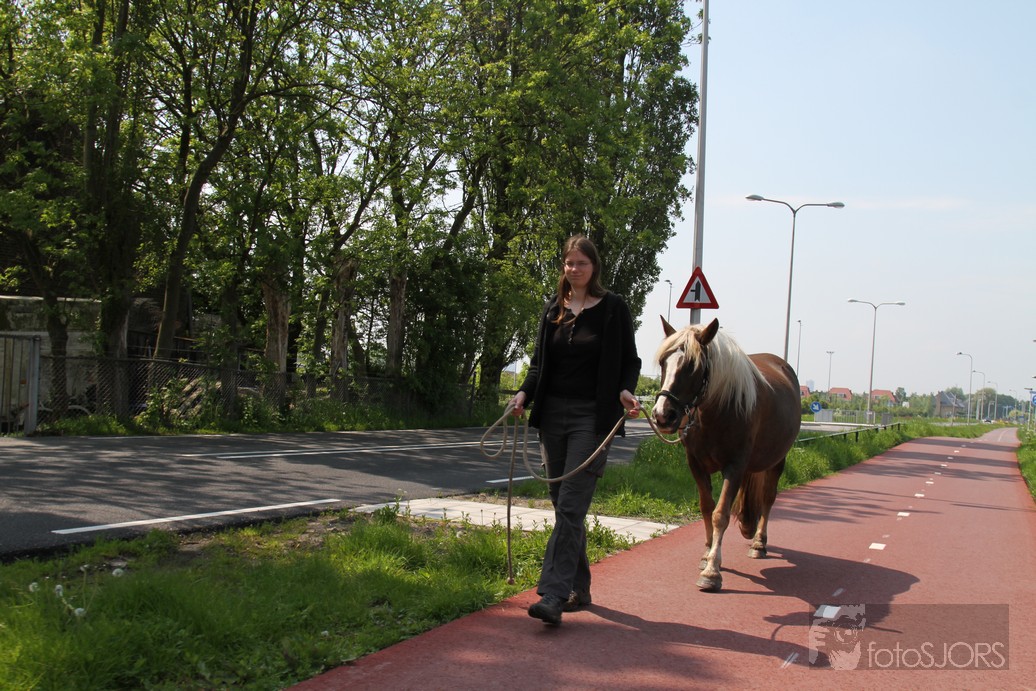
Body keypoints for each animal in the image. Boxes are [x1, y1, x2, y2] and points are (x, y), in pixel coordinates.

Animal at [651, 317, 801, 592]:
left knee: (768, 498)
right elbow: (706, 507)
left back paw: (759, 543)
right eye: (663, 361)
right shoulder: (696, 464)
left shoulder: (735, 466)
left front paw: (712, 571)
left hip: (777, 460)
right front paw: (706, 553)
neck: (718, 412)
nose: (662, 415)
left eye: (693, 366)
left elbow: (721, 514)